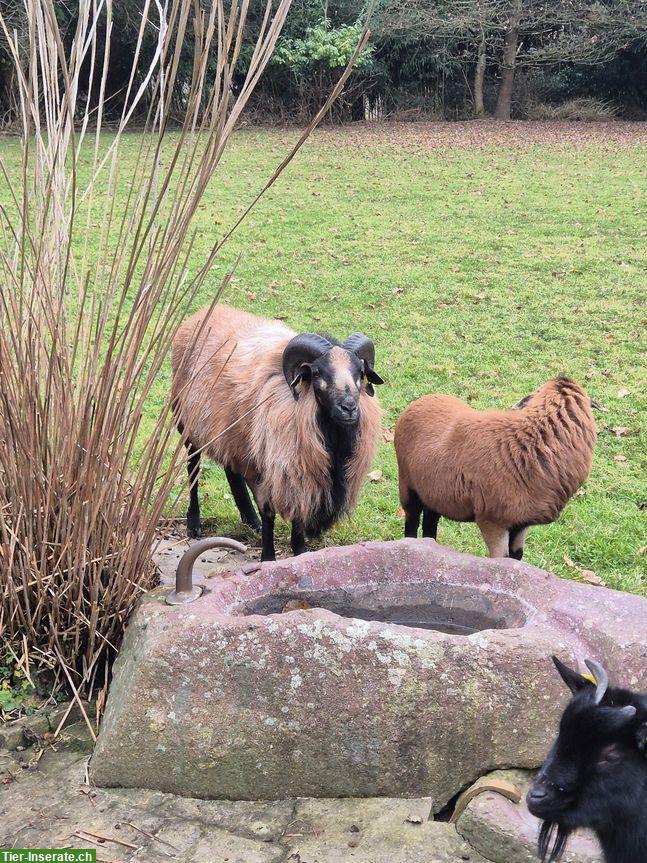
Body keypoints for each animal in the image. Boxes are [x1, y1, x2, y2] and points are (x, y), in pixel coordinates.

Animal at [172, 304, 384, 560]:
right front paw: (268, 557)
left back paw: (250, 520)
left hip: (232, 432)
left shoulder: (302, 472)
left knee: (231, 469)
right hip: (189, 423)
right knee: (193, 466)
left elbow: (298, 515)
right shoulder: (272, 467)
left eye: (360, 372)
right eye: (317, 374)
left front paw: (300, 552)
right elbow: (269, 512)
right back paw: (194, 523)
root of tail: (201, 314)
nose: (349, 407)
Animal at [394, 378, 604, 560]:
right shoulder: (493, 522)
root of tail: (422, 400)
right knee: (412, 524)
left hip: (434, 493)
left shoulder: (521, 523)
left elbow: (516, 557)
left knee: (430, 524)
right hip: (407, 485)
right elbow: (500, 559)